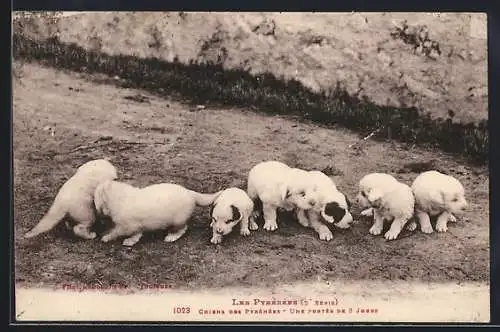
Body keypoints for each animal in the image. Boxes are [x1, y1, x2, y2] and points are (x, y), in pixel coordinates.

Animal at [94, 180, 223, 245]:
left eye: (95, 197)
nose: (95, 208)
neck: (121, 198)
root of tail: (190, 193)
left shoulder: (126, 225)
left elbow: (116, 232)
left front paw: (106, 237)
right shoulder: (136, 226)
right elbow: (137, 234)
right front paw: (131, 241)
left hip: (178, 220)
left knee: (182, 229)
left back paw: (171, 237)